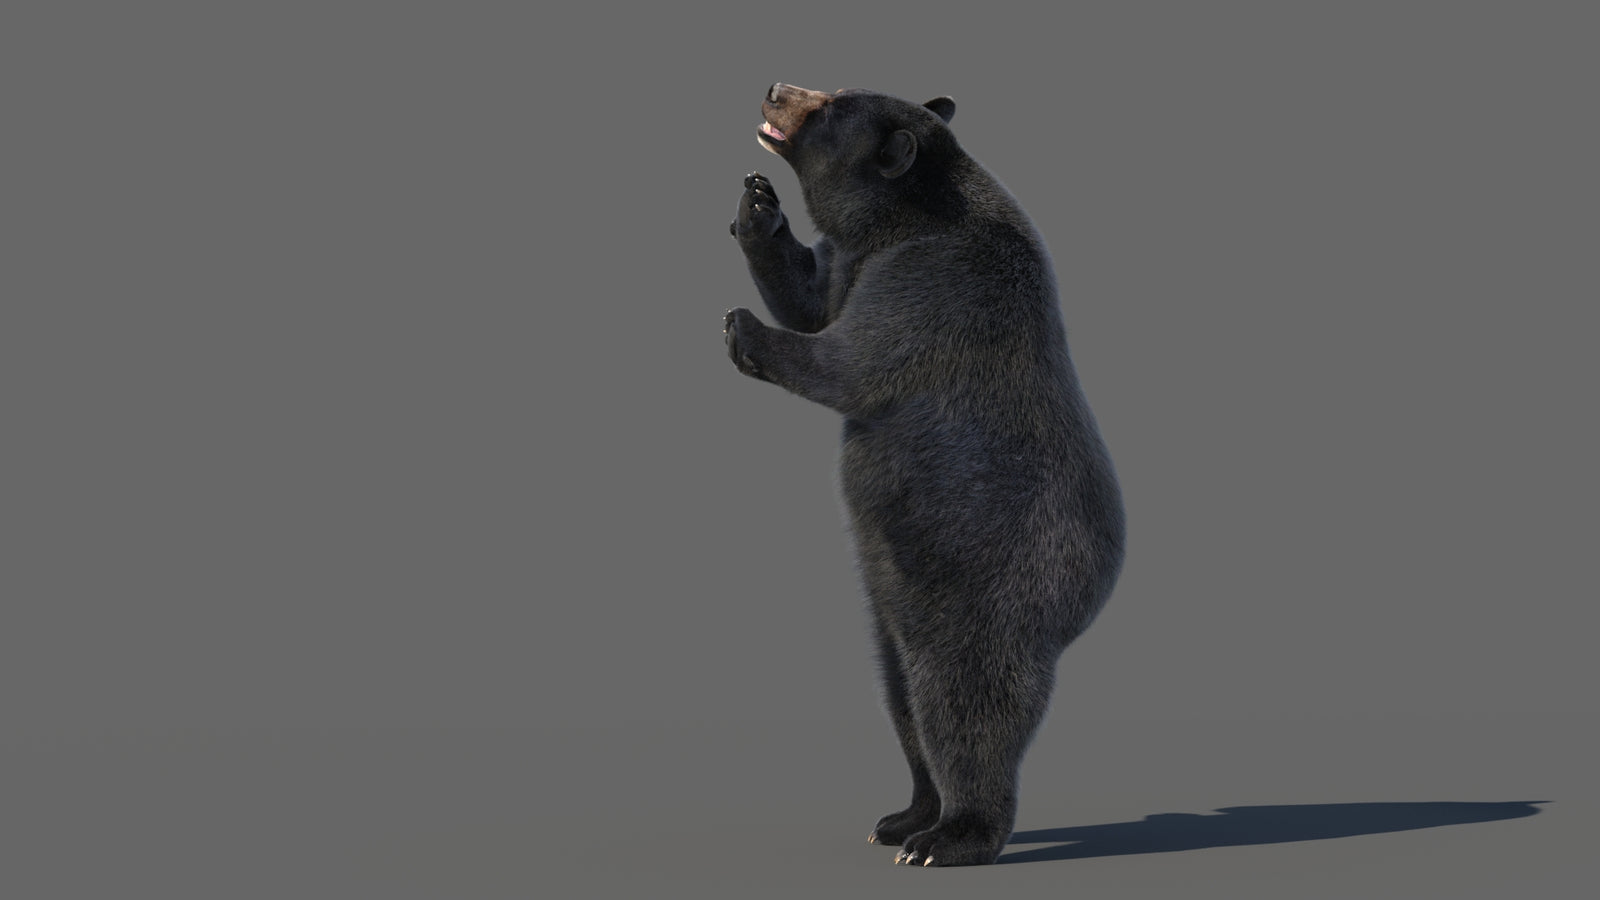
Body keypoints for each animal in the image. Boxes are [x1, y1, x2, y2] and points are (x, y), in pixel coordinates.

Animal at [724, 83, 1125, 867]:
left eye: (832, 107)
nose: (776, 89)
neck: (902, 220)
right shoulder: (856, 260)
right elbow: (815, 299)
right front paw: (757, 208)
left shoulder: (936, 281)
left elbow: (852, 360)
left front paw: (743, 327)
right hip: (891, 602)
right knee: (900, 695)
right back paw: (904, 816)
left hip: (987, 590)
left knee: (961, 706)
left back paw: (951, 836)